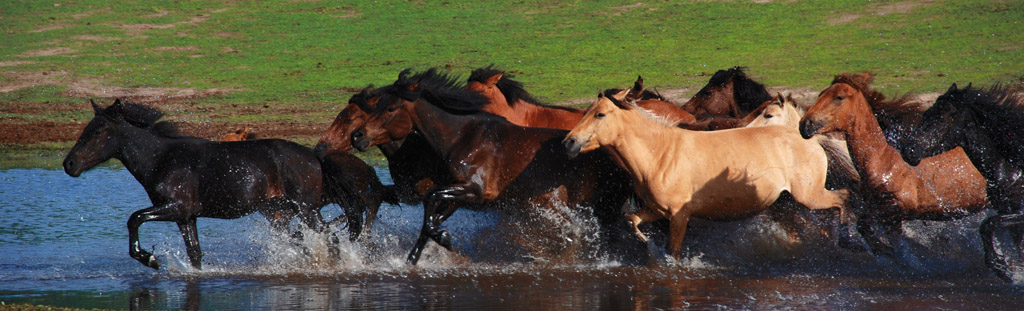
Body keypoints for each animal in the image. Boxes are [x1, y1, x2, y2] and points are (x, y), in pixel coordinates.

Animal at [65, 99, 352, 270]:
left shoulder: (175, 207)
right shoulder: (186, 217)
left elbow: (134, 218)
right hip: (277, 214)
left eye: (98, 131)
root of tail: (313, 157)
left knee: (331, 239)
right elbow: (195, 253)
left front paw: (151, 259)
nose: (69, 164)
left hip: (306, 209)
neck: (162, 160)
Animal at [354, 68, 638, 263]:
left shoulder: (475, 191)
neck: (464, 136)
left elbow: (431, 202)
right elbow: (430, 217)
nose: (357, 136)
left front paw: (443, 239)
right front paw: (413, 257)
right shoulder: (458, 193)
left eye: (390, 108)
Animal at [561, 90, 847, 259]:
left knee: (842, 199)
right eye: (586, 112)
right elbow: (632, 220)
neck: (660, 154)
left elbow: (674, 252)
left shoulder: (679, 216)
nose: (569, 142)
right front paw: (649, 247)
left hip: (809, 196)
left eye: (599, 114)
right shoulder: (656, 210)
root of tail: (810, 139)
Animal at [897, 82, 1024, 282]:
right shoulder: (1007, 211)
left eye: (941, 118)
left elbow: (987, 224)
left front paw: (1001, 267)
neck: (1012, 166)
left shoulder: (1016, 213)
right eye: (925, 114)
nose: (909, 150)